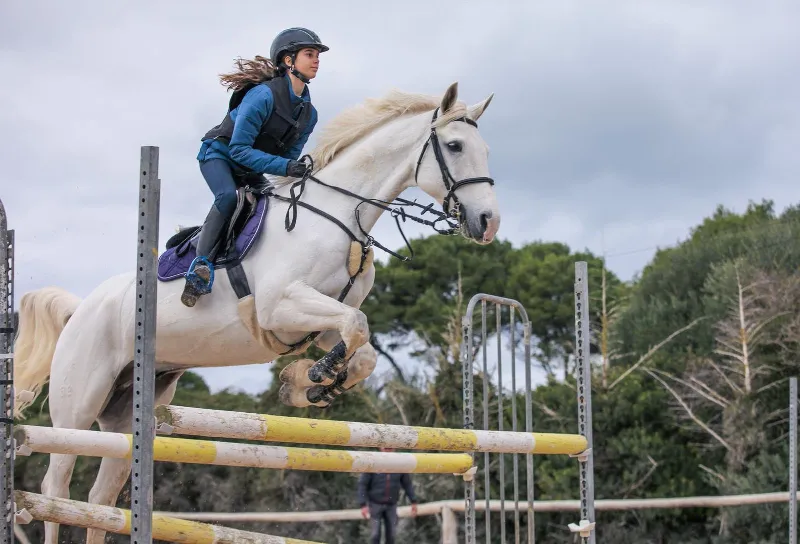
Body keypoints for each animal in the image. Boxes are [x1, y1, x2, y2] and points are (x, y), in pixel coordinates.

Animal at [11, 81, 500, 544]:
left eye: (486, 149)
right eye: (455, 146)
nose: (488, 223)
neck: (340, 216)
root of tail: (81, 309)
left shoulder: (323, 318)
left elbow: (361, 348)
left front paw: (309, 384)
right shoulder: (279, 306)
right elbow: (357, 327)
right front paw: (315, 376)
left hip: (127, 411)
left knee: (100, 498)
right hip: (78, 405)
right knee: (57, 487)